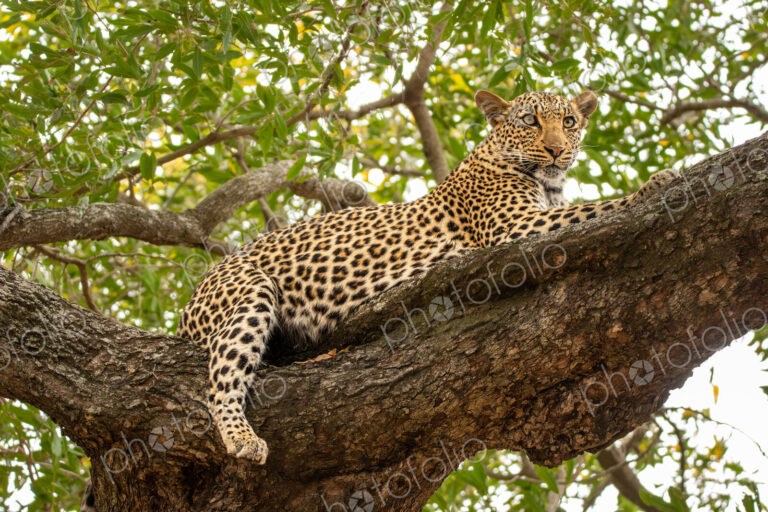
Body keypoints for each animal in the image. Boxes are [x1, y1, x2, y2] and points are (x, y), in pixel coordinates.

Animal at [174, 88, 680, 465]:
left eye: (569, 121)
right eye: (530, 121)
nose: (557, 149)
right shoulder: (514, 228)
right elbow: (597, 208)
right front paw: (656, 184)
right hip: (249, 288)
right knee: (220, 382)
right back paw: (242, 437)